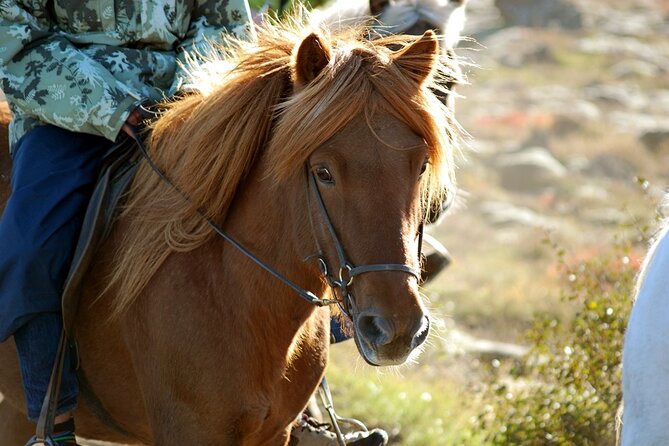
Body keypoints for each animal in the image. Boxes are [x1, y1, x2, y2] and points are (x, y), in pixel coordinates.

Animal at [0, 15, 456, 444]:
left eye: (420, 167)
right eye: (323, 172)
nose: (397, 329)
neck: (235, 295)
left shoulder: (275, 433)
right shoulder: (190, 432)